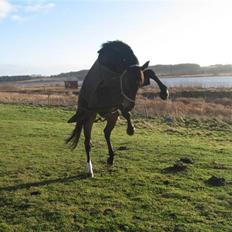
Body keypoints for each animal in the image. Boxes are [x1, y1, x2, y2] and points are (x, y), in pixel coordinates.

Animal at [66, 40, 168, 177]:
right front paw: (130, 128)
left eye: (138, 85)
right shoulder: (106, 98)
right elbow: (124, 110)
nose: (130, 105)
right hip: (88, 118)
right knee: (87, 142)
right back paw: (89, 169)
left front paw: (164, 92)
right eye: (127, 82)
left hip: (112, 116)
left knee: (106, 132)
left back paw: (111, 157)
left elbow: (150, 72)